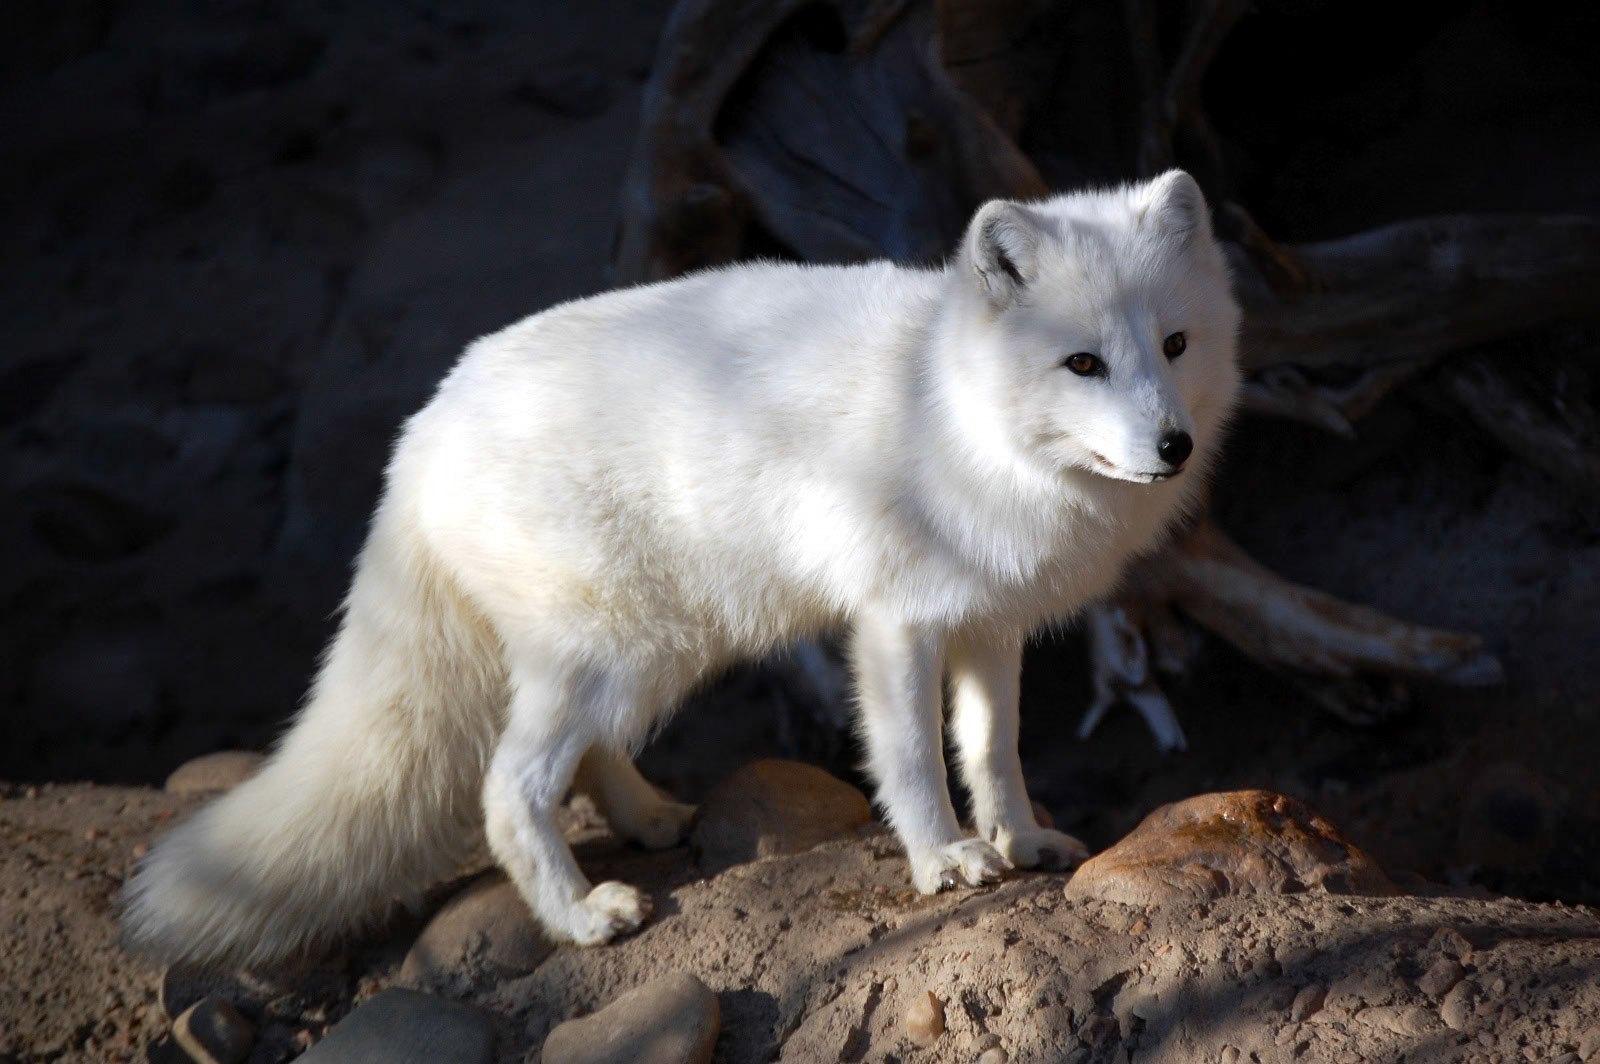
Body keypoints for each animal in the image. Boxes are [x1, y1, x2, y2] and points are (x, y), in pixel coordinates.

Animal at [122, 170, 1242, 966]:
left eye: (1176, 345)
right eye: (1082, 363)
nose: (1172, 446)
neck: (953, 413)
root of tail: (422, 429)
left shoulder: (990, 623)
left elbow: (993, 751)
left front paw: (1022, 841)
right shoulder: (895, 623)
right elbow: (914, 760)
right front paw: (942, 860)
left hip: (650, 650)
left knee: (579, 757)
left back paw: (653, 819)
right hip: (613, 650)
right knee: (508, 784)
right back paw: (579, 915)